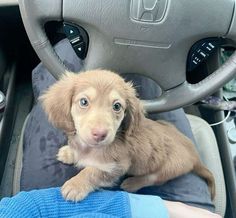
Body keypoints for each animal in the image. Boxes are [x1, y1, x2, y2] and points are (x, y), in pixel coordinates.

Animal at [39, 69, 215, 201]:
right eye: (83, 102)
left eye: (117, 106)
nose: (100, 134)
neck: (90, 148)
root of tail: (195, 154)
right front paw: (69, 153)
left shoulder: (116, 167)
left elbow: (92, 172)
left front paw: (76, 185)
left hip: (168, 168)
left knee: (154, 179)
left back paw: (132, 183)